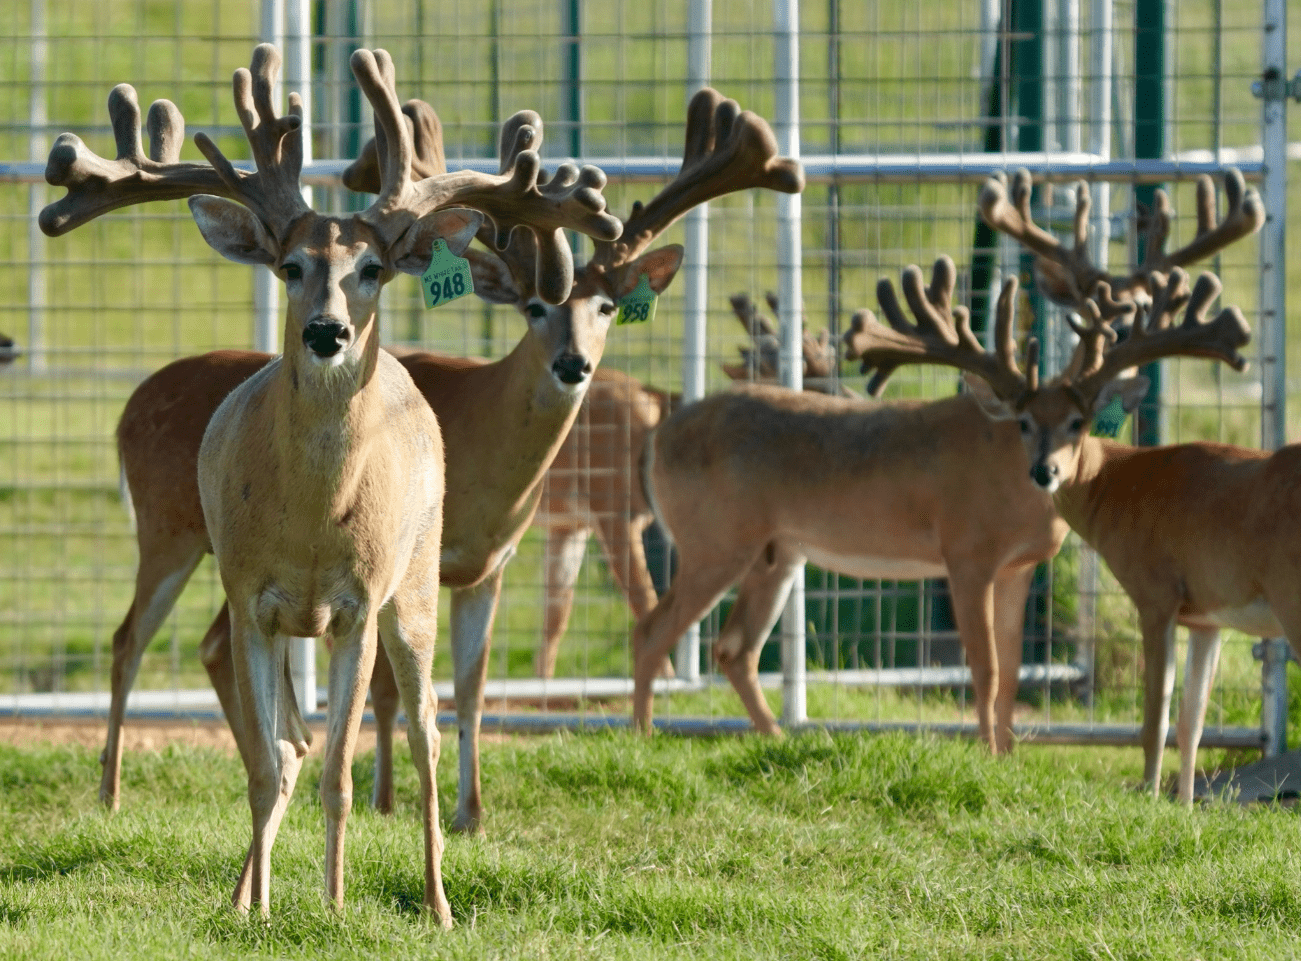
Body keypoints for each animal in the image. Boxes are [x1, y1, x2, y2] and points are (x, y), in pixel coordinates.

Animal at [42, 44, 623, 918]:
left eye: (372, 268)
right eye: (290, 266)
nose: (326, 331)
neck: (314, 522)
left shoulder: (358, 603)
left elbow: (342, 774)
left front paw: (336, 903)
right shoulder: (254, 598)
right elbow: (265, 763)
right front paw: (254, 907)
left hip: (415, 585)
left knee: (425, 730)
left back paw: (439, 901)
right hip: (193, 552)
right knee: (270, 729)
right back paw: (242, 882)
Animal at [91, 84, 803, 842]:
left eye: (608, 306)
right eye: (535, 305)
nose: (573, 365)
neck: (483, 449)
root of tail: (130, 404)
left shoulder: (490, 563)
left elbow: (470, 686)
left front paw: (470, 811)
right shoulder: (408, 562)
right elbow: (388, 690)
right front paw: (385, 799)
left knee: (211, 645)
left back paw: (288, 752)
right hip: (166, 528)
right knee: (130, 638)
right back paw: (112, 791)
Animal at [630, 169, 1260, 752]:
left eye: (1078, 423)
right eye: (1025, 423)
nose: (1119, 323)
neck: (1011, 472)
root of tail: (661, 436)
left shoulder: (1019, 566)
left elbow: (1012, 673)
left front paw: (1008, 756)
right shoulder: (966, 551)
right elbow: (986, 668)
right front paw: (986, 753)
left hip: (777, 552)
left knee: (733, 648)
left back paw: (777, 737)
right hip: (715, 538)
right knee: (654, 630)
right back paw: (643, 737)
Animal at [977, 168, 1281, 803]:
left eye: (1078, 422)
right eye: (1023, 422)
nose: (1044, 471)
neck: (1121, 481)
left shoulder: (1158, 591)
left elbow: (1154, 718)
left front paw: (1149, 795)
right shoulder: (1208, 615)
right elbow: (1192, 722)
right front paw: (1185, 805)